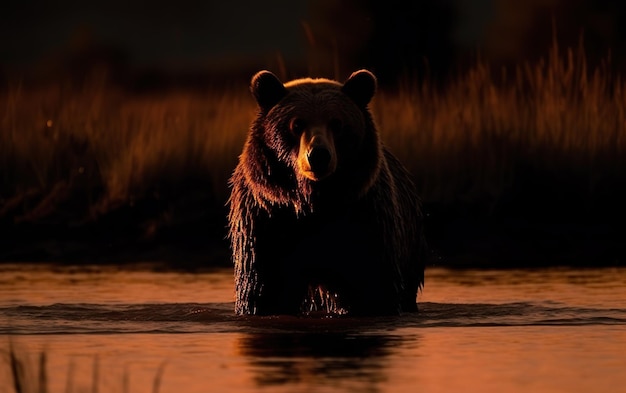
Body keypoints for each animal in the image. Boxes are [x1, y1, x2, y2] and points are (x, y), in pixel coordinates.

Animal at [224, 69, 424, 316]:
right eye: (296, 124)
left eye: (337, 123)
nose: (318, 155)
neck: (315, 203)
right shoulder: (267, 223)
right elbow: (261, 290)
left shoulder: (365, 220)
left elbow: (373, 286)